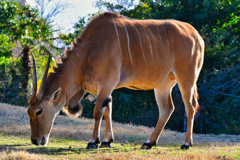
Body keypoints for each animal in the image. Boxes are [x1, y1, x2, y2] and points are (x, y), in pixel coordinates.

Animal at [27, 11, 204, 150]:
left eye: (39, 111)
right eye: (29, 111)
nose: (35, 140)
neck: (89, 50)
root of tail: (197, 37)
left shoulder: (106, 85)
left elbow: (98, 111)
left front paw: (93, 142)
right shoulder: (106, 89)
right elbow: (108, 111)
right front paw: (107, 141)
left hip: (186, 79)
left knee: (190, 106)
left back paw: (186, 144)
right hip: (163, 85)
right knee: (167, 109)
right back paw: (149, 142)